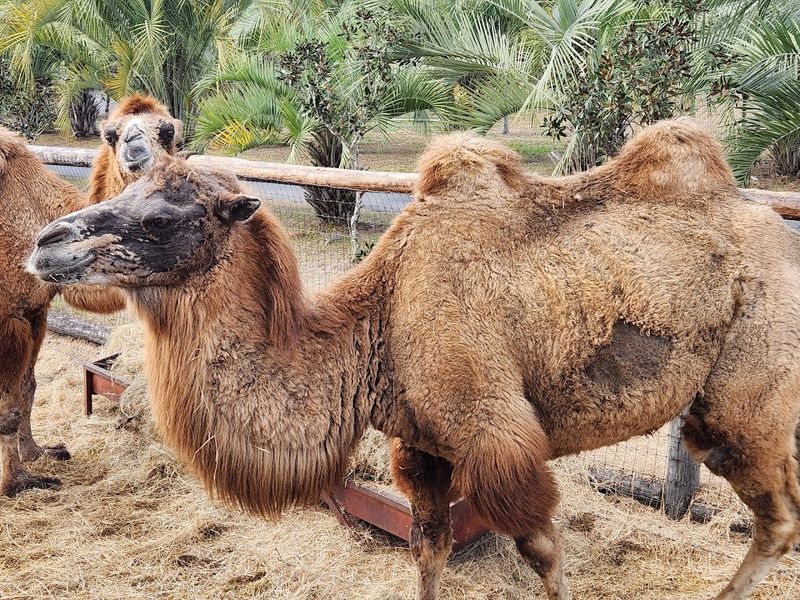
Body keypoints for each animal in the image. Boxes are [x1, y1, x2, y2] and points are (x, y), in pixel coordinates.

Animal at [0, 94, 180, 496]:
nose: (134, 148)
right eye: (111, 134)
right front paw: (19, 483)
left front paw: (40, 453)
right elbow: (7, 407)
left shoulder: (36, 311)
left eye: (168, 130)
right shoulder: (8, 316)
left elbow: (28, 388)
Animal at [28, 118, 800, 600]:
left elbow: (544, 554)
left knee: (777, 518)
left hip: (744, 395)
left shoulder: (499, 440)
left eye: (160, 218)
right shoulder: (422, 448)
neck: (379, 324)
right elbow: (427, 550)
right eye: (127, 184)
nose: (44, 242)